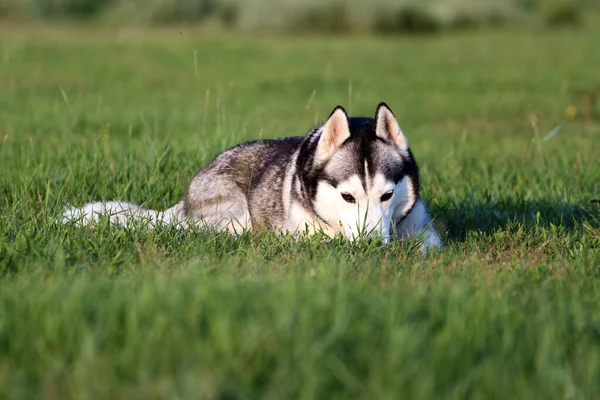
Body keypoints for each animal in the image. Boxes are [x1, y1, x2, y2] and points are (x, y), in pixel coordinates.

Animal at [64, 104, 440, 250]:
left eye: (387, 196)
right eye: (348, 197)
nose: (372, 244)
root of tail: (186, 199)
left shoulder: (424, 228)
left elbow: (424, 244)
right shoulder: (301, 234)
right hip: (235, 214)